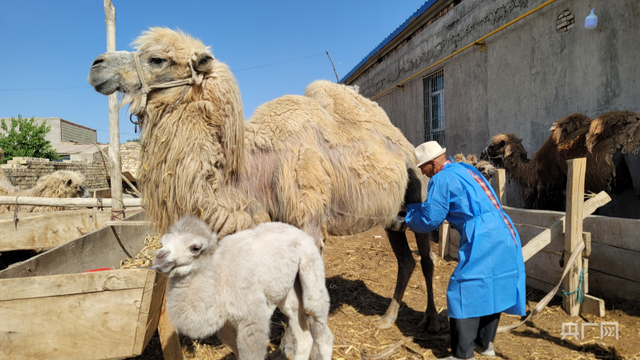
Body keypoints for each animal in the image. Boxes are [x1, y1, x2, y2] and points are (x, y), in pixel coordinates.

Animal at [87, 28, 440, 344]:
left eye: (157, 59)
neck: (252, 169)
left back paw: (429, 321)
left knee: (426, 259)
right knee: (405, 261)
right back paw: (388, 318)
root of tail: (404, 145)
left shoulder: (309, 221)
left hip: (421, 196)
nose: (96, 64)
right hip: (391, 216)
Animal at [154, 217, 336, 360]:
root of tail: (297, 231)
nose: (159, 258)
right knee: (303, 334)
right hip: (287, 290)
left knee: (322, 329)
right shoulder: (226, 326)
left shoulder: (252, 320)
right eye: (162, 242)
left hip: (311, 266)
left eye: (195, 247)